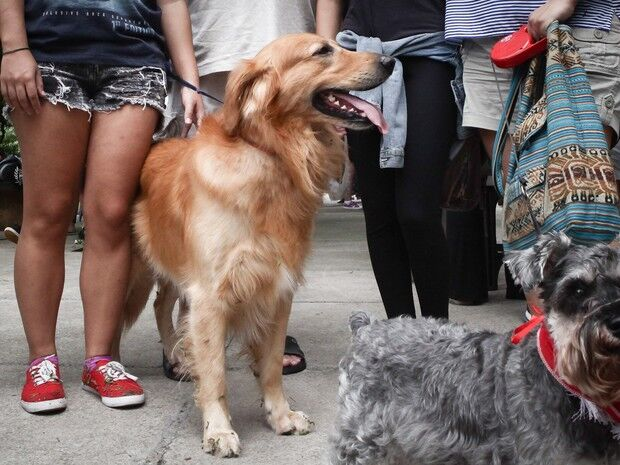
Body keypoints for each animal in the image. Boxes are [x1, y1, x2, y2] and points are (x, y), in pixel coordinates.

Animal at [125, 33, 392, 456]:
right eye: (322, 51)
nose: (391, 61)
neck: (272, 156)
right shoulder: (210, 294)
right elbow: (215, 373)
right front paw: (218, 430)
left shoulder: (277, 289)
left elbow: (270, 366)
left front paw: (280, 416)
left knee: (163, 306)